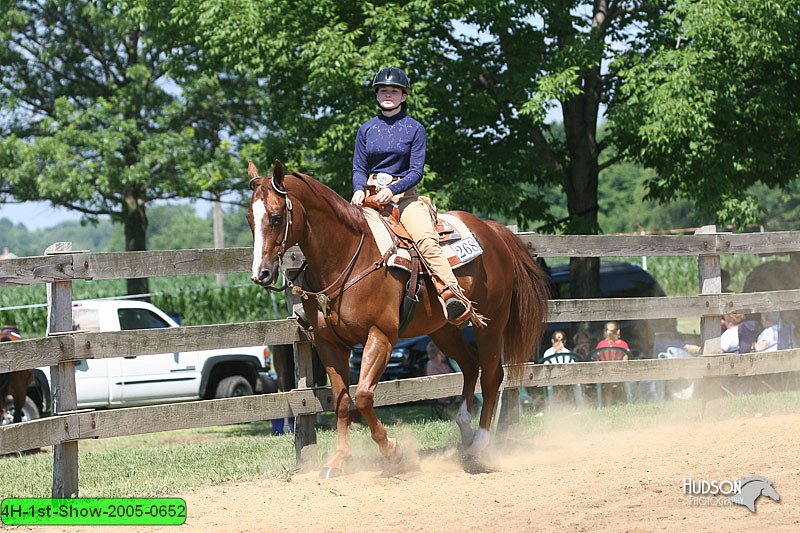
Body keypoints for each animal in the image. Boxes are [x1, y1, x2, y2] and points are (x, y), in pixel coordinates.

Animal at [250, 160, 552, 476]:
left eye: (275, 217)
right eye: (250, 219)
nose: (261, 273)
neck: (345, 257)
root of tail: (493, 230)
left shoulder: (380, 336)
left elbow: (363, 396)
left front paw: (393, 451)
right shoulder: (328, 344)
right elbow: (342, 401)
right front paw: (339, 459)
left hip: (492, 322)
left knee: (492, 375)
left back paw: (479, 443)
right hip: (443, 329)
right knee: (471, 365)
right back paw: (465, 430)